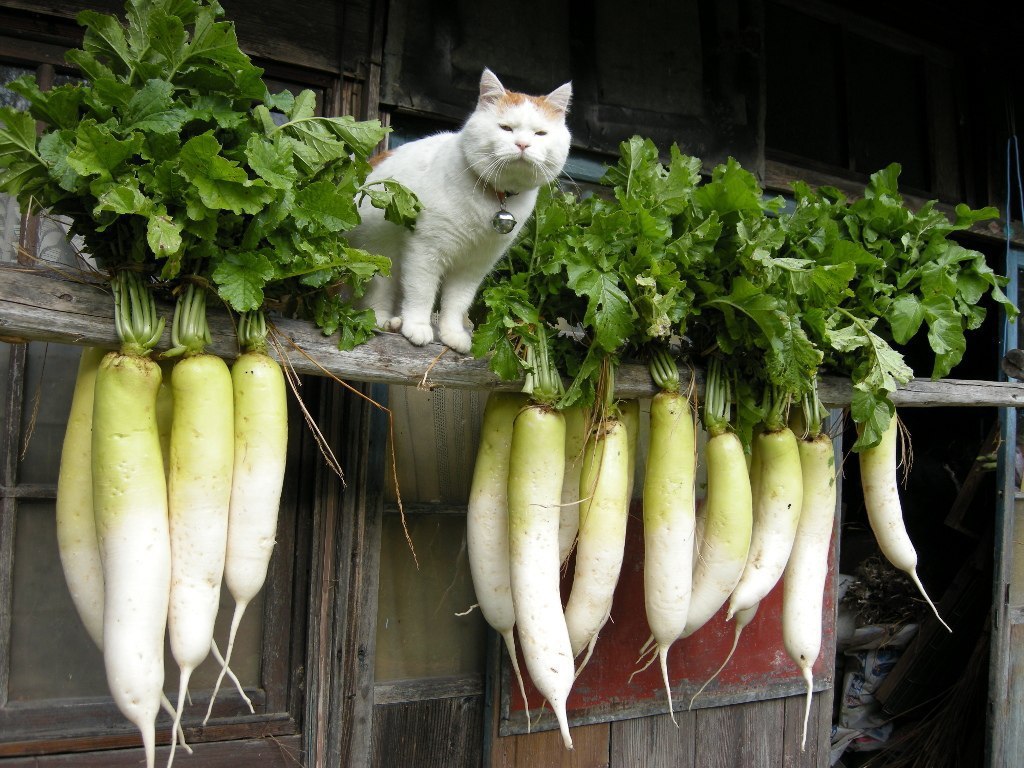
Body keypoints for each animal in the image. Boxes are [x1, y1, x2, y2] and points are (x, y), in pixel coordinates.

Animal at [348, 69, 573, 354]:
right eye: (506, 128)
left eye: (540, 134)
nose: (522, 144)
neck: (496, 199)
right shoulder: (424, 252)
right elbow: (421, 293)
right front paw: (418, 326)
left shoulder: (474, 267)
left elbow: (457, 303)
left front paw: (452, 333)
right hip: (377, 261)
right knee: (373, 304)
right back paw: (390, 322)